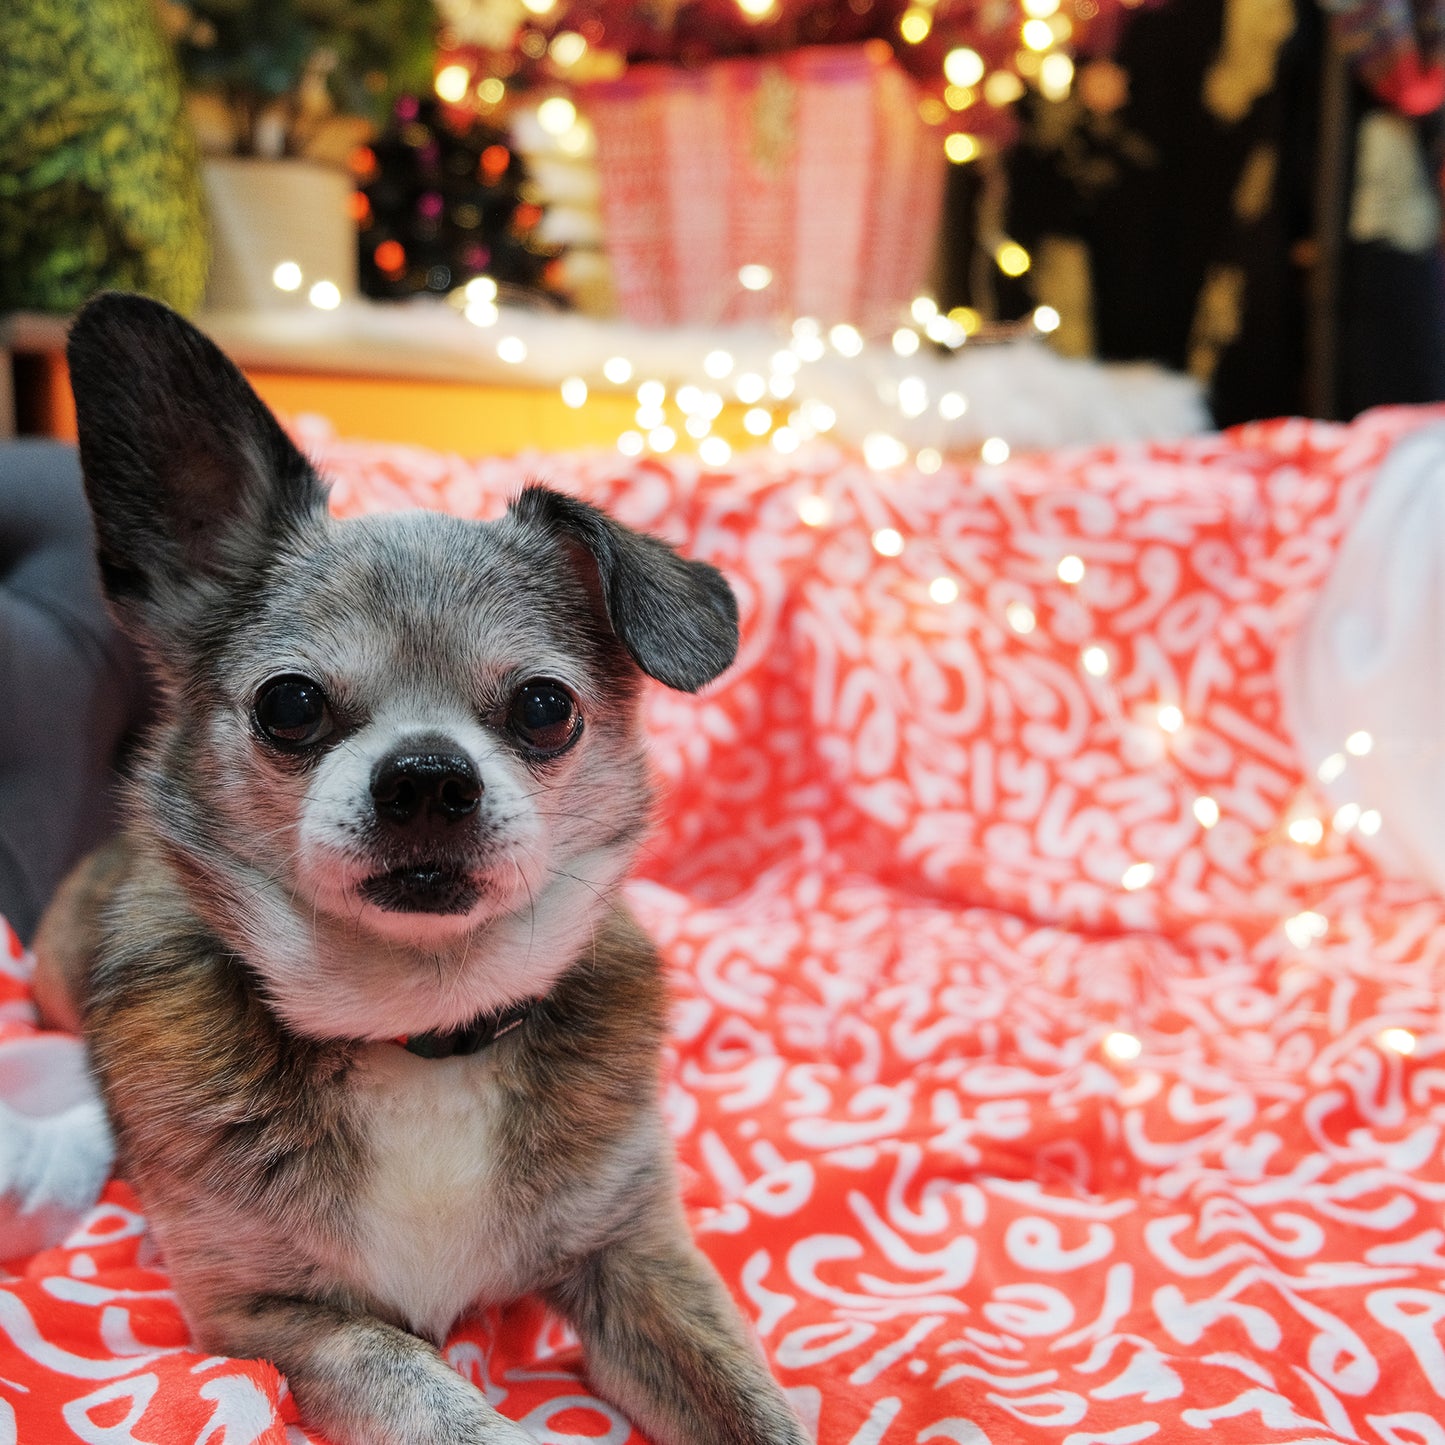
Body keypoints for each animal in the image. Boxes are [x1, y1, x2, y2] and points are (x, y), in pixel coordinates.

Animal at [39, 293, 814, 1445]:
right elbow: (412, 1377)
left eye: (544, 707)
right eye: (289, 706)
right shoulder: (268, 1313)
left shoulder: (632, 1254)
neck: (422, 1033)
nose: (424, 778)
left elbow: (752, 1406)